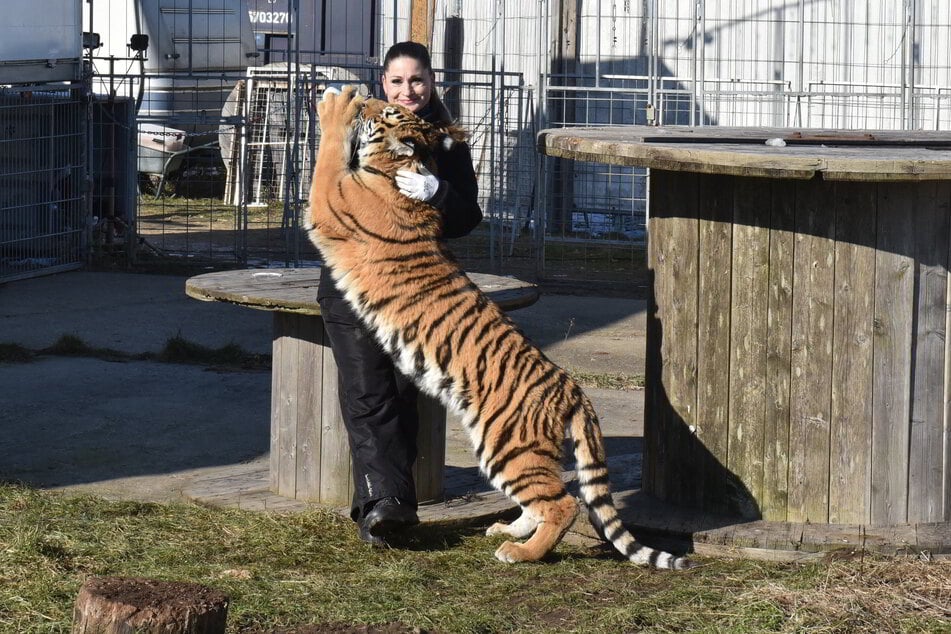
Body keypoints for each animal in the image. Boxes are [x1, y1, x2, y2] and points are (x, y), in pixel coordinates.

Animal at [306, 86, 692, 570]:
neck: (394, 169)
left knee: (563, 504)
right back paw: (507, 530)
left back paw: (520, 552)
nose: (367, 97)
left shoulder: (329, 202)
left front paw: (335, 107)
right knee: (543, 502)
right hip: (504, 448)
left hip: (508, 446)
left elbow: (328, 153)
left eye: (387, 110)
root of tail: (574, 389)